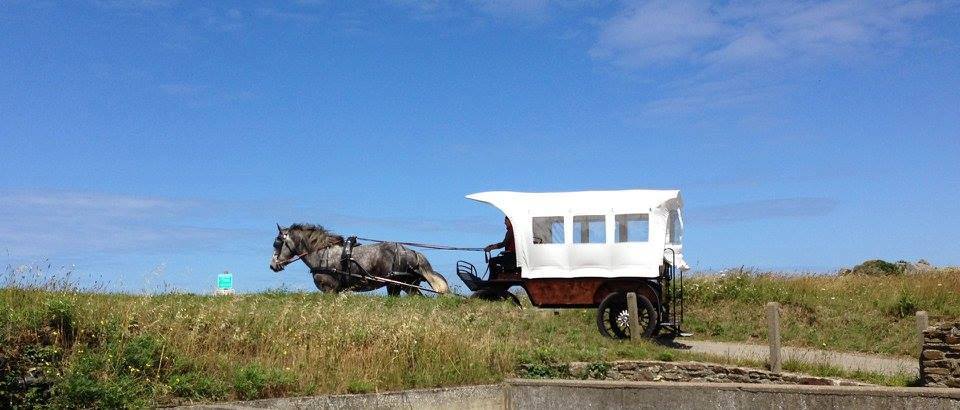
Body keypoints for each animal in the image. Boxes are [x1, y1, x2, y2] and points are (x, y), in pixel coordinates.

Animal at [270, 224, 450, 294]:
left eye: (277, 243)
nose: (272, 266)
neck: (322, 254)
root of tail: (412, 252)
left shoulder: (329, 289)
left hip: (398, 285)